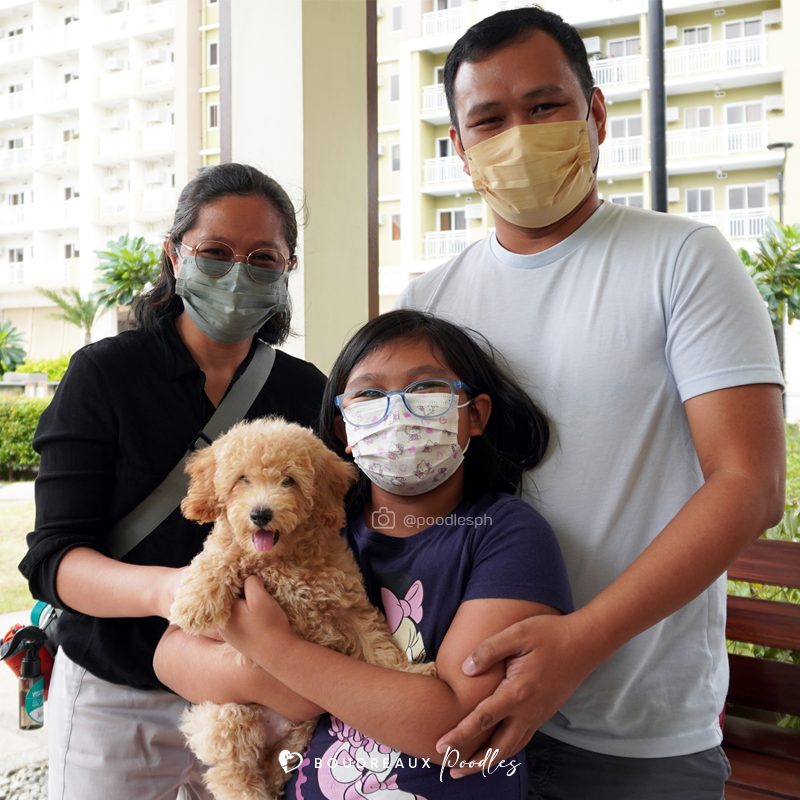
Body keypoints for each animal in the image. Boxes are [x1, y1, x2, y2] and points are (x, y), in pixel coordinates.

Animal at [167, 418, 432, 800]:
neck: (280, 560)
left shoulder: (347, 604)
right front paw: (196, 602)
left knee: (269, 765)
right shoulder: (232, 550)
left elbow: (376, 645)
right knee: (232, 773)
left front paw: (409, 673)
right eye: (242, 479)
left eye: (288, 480)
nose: (260, 514)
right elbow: (221, 556)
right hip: (225, 716)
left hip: (296, 736)